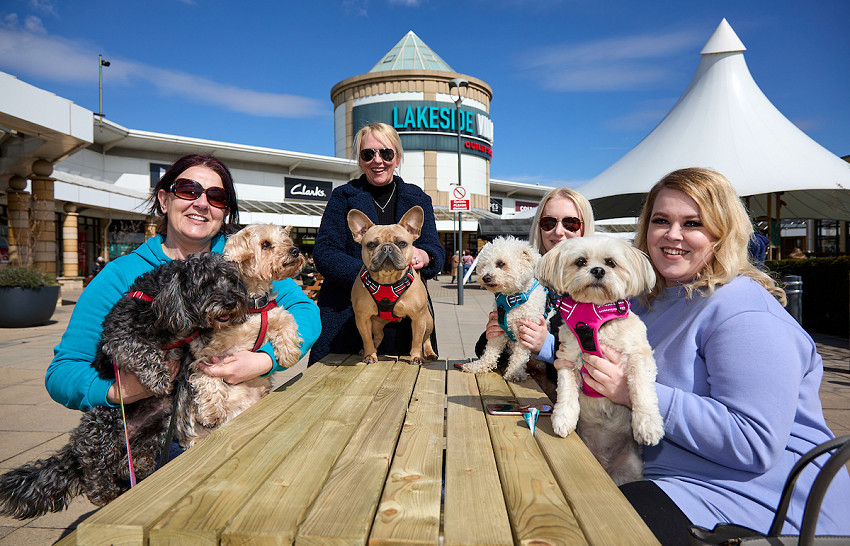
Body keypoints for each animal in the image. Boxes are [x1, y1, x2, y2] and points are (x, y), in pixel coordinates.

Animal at [0, 253, 247, 516]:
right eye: (206, 283)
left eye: (231, 280)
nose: (232, 302)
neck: (158, 302)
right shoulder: (119, 338)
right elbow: (142, 350)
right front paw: (158, 377)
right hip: (103, 423)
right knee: (93, 464)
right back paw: (104, 491)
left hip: (162, 423)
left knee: (129, 458)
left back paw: (139, 463)